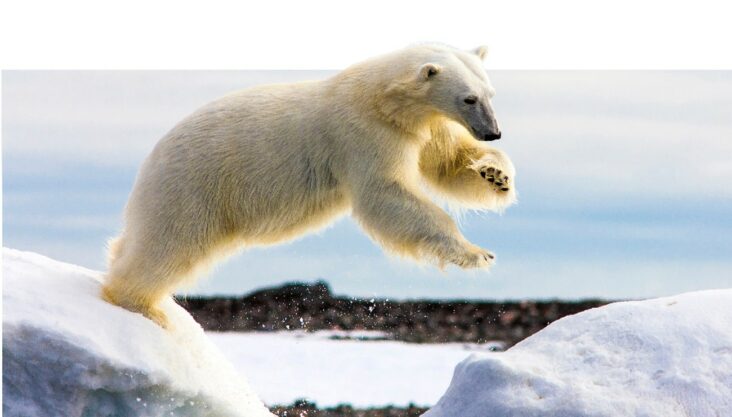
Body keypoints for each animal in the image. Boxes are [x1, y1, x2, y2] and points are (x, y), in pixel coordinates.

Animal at [101, 43, 516, 328]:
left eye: (491, 94)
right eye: (469, 98)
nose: (494, 132)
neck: (382, 99)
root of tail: (149, 162)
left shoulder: (421, 127)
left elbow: (448, 161)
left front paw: (497, 175)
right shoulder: (362, 134)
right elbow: (387, 195)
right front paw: (477, 253)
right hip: (193, 188)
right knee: (169, 246)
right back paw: (143, 306)